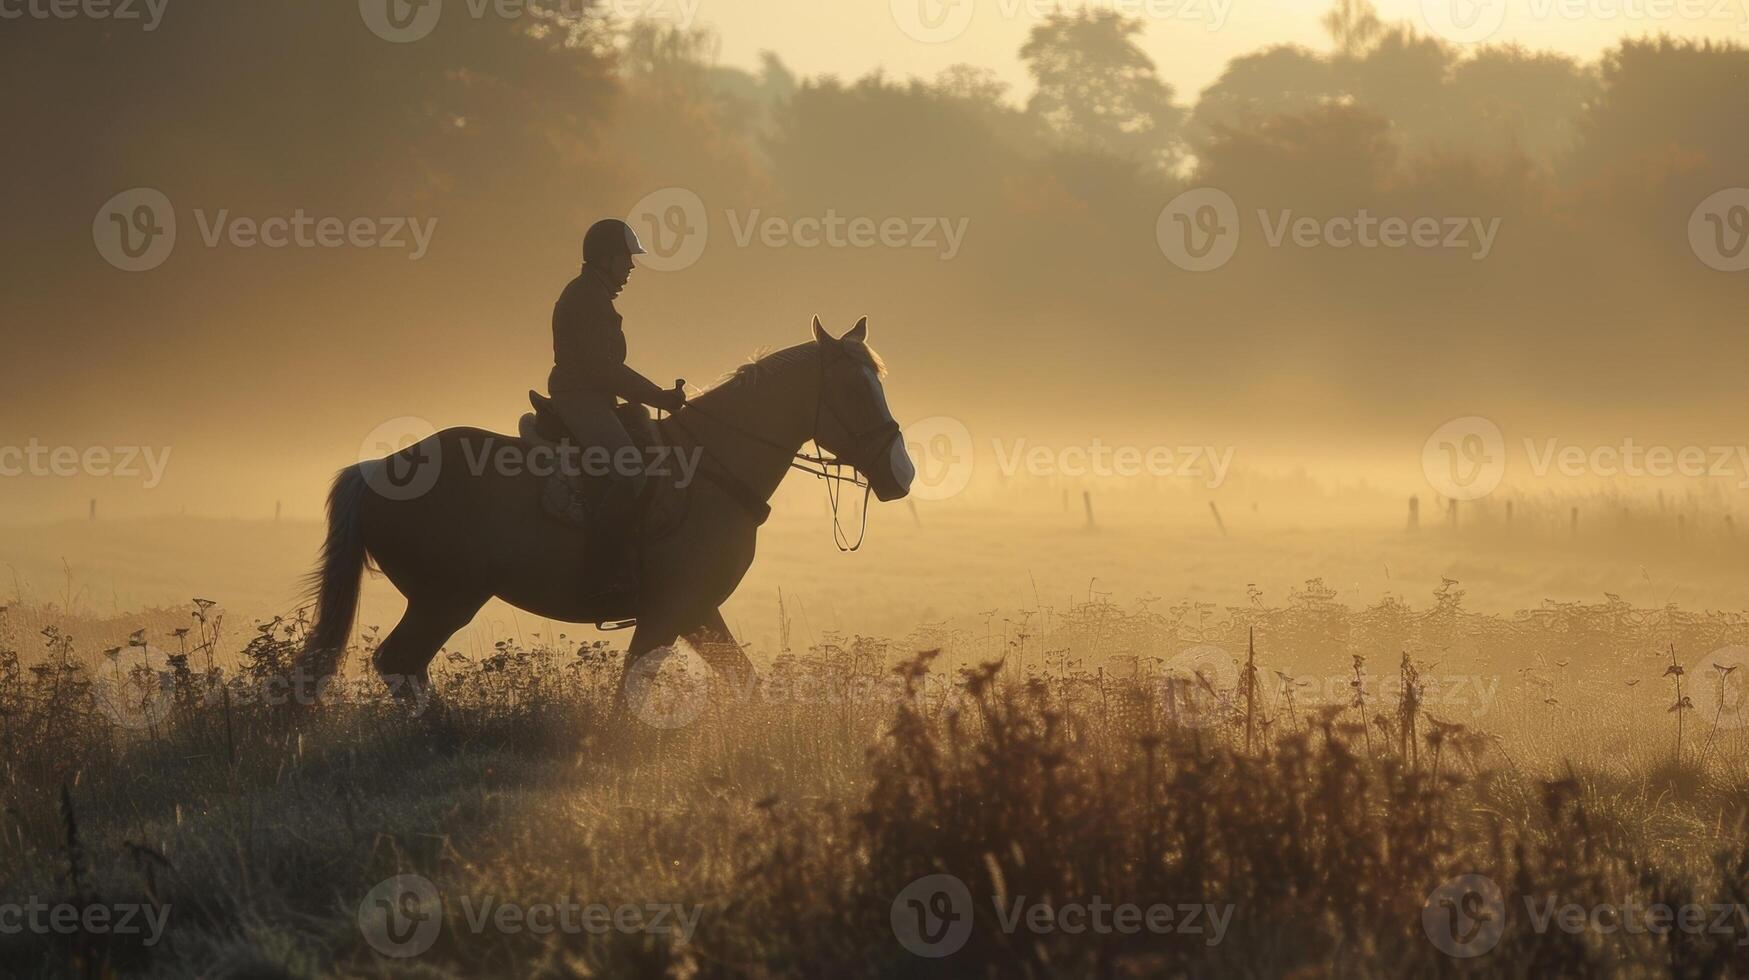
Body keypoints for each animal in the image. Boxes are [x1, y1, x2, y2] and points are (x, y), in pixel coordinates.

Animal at [295, 313, 916, 703]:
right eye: (853, 392)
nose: (902, 474)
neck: (714, 467)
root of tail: (375, 470)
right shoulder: (669, 612)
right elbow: (628, 695)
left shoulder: (698, 612)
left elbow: (744, 683)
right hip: (445, 597)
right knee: (399, 663)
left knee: (404, 667)